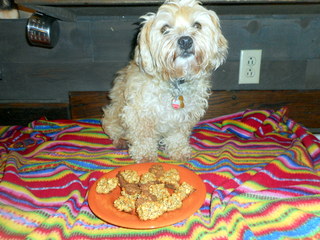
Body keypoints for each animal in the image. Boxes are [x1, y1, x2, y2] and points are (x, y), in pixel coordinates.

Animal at [102, 0, 228, 162]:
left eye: (197, 25)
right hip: (113, 114)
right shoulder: (139, 114)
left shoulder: (183, 116)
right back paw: (121, 141)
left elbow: (177, 136)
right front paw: (145, 155)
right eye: (165, 28)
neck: (175, 81)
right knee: (113, 129)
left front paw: (179, 151)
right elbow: (144, 136)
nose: (185, 41)